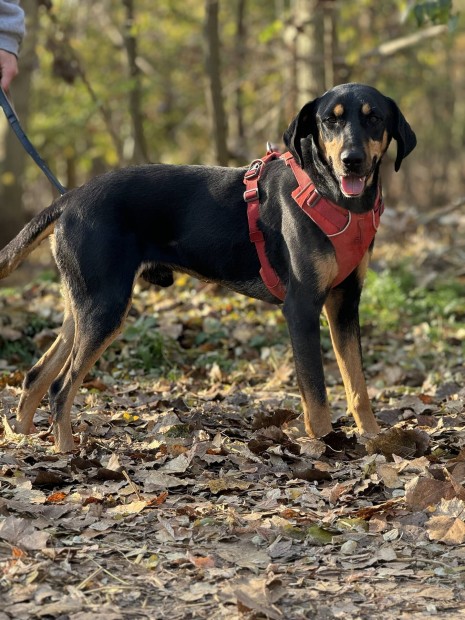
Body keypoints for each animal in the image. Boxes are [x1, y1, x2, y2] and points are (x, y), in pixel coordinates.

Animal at [0, 82, 414, 450]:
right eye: (330, 120)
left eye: (374, 117)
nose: (352, 160)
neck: (336, 199)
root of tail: (69, 199)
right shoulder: (302, 307)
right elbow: (316, 393)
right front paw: (328, 445)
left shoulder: (345, 303)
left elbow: (358, 385)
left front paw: (374, 439)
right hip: (105, 306)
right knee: (60, 387)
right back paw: (66, 452)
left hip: (84, 304)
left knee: (36, 377)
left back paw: (22, 440)